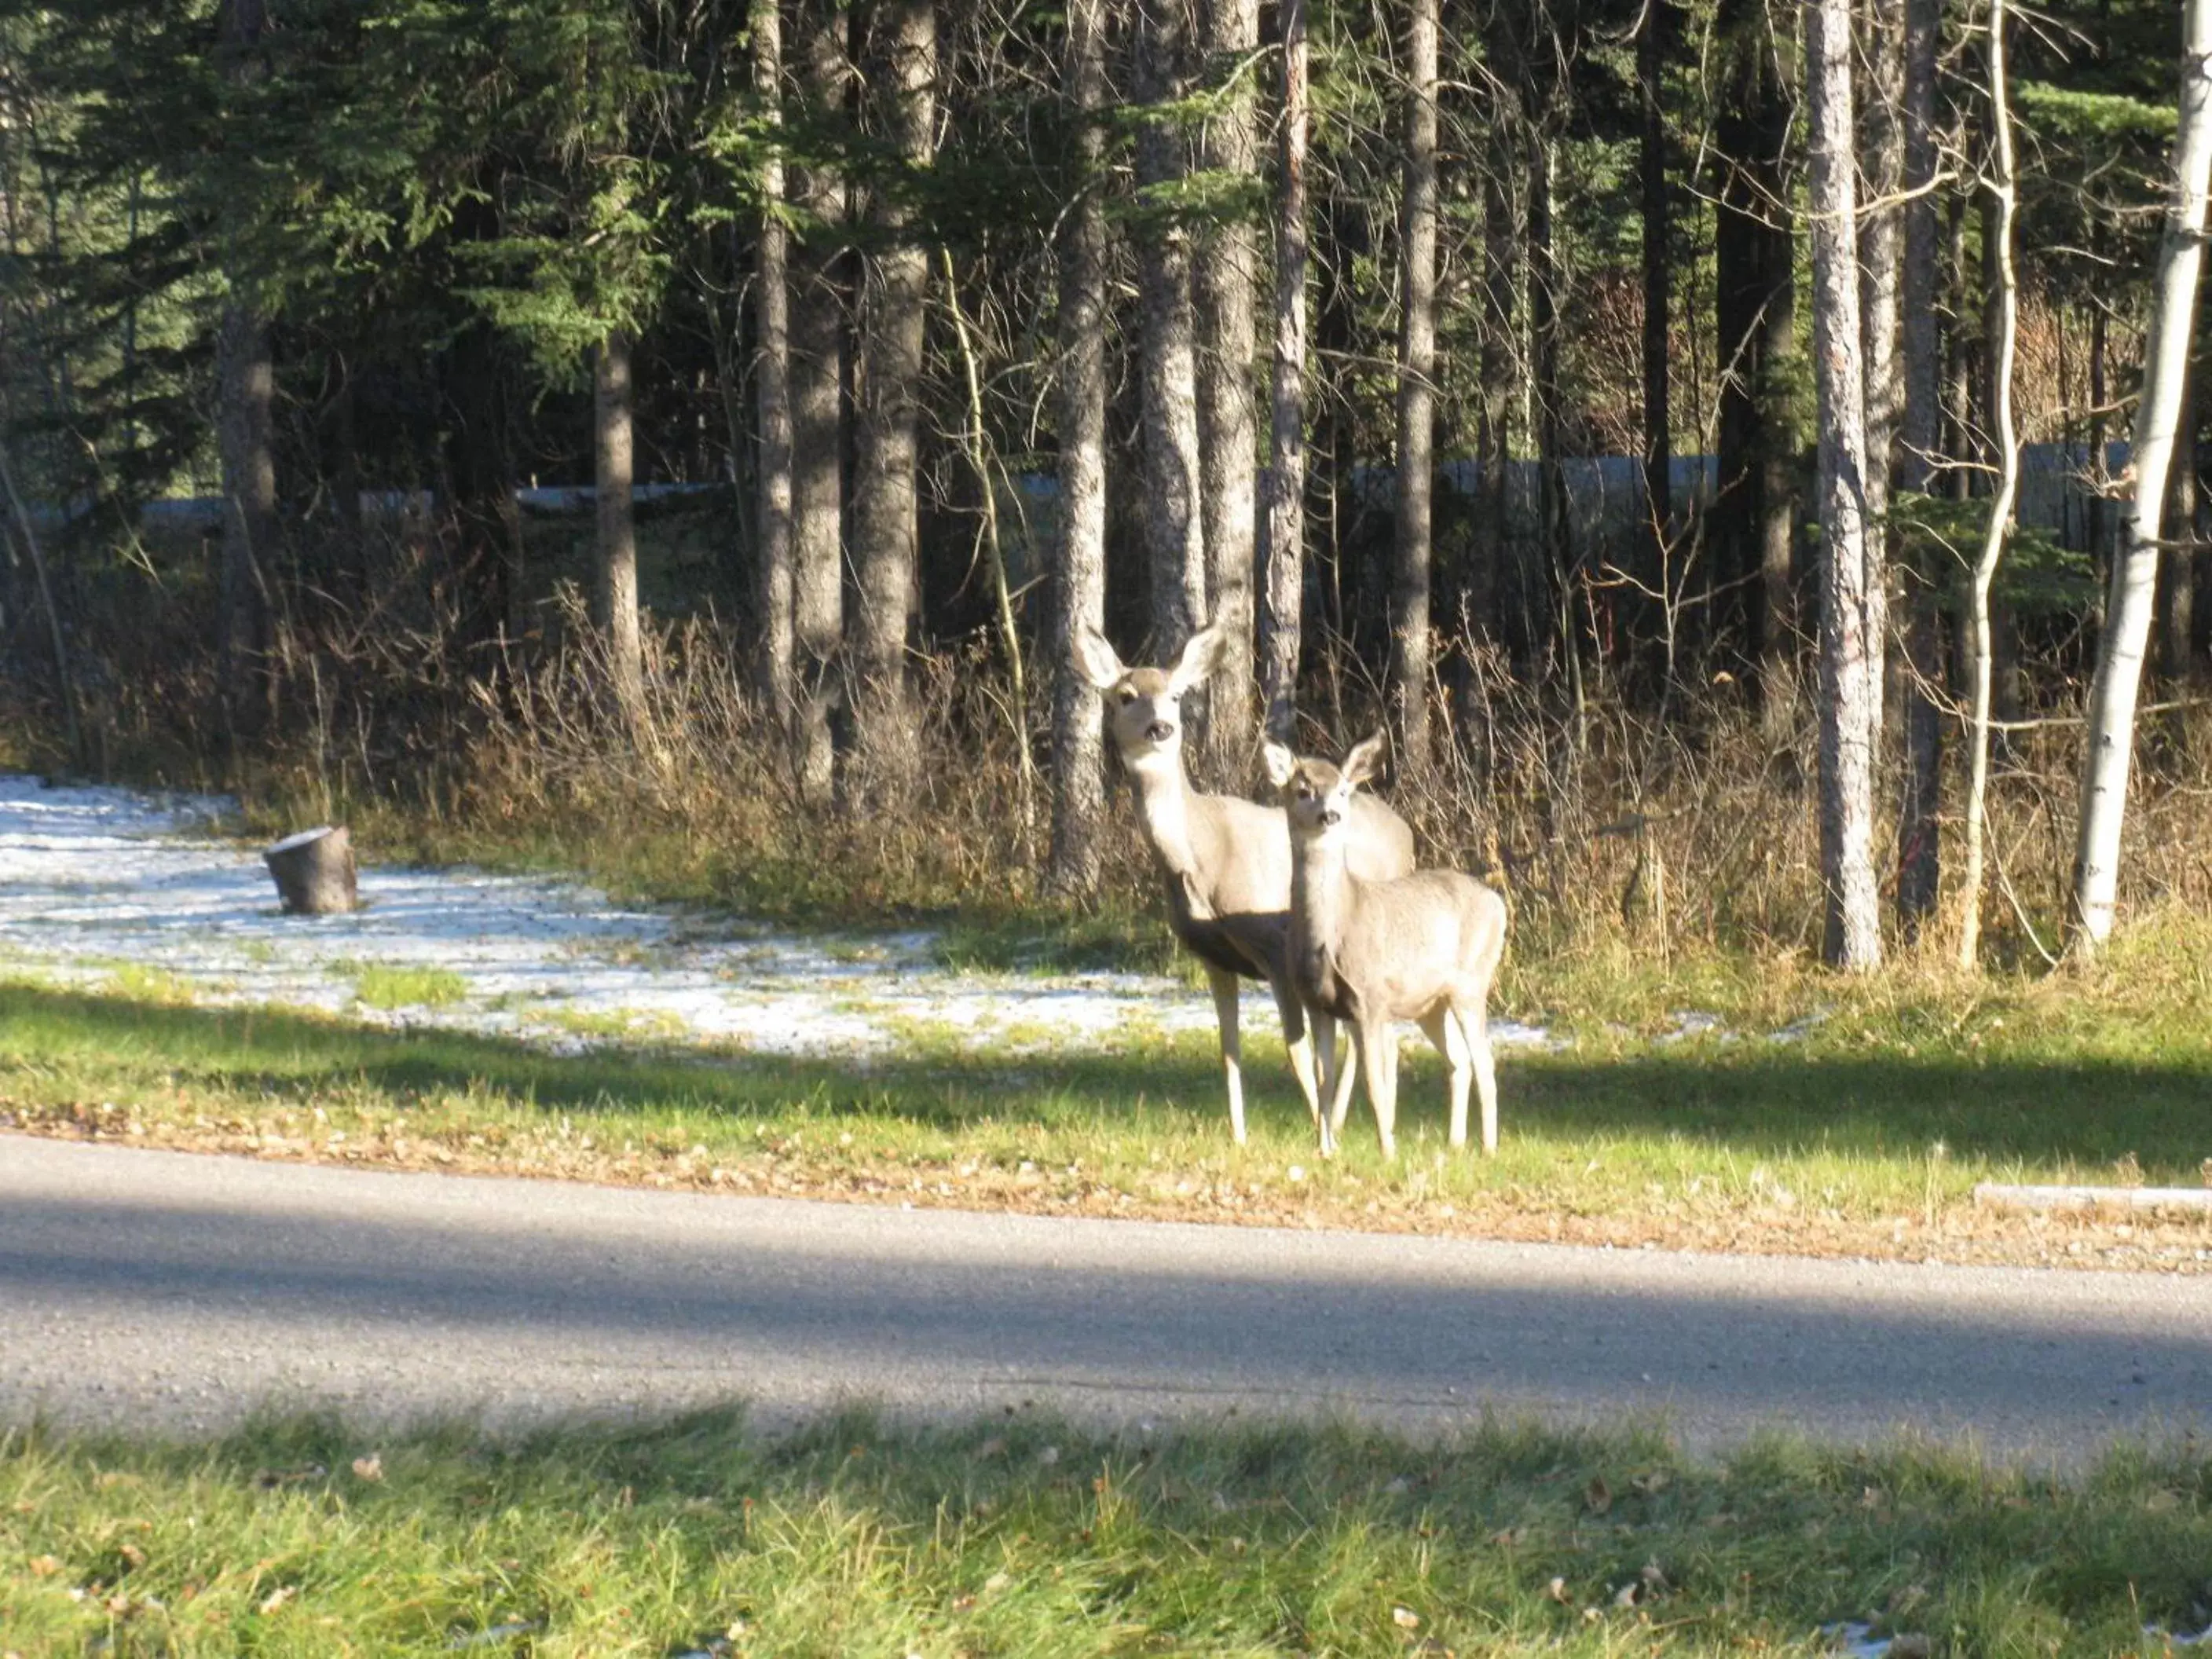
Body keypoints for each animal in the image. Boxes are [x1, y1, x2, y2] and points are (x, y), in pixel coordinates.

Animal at [1075, 619, 1415, 1150]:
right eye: (1126, 696)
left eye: (1175, 695)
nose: (1160, 728)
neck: (1199, 854)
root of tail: (1407, 835)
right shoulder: (1214, 957)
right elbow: (1228, 1048)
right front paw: (1239, 1135)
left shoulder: (1275, 950)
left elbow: (1297, 1053)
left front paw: (1318, 1135)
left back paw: (1344, 1125)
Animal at [1265, 734, 1503, 1159]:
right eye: (1303, 790)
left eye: (1343, 790)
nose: (1330, 815)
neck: (1334, 930)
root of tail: (1500, 905)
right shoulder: (1317, 1004)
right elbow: (1324, 1081)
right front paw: (1325, 1150)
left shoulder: (1371, 999)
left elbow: (1376, 1085)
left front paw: (1387, 1150)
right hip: (1431, 1003)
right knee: (1459, 1059)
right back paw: (1455, 1143)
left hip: (1472, 983)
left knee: (1485, 1063)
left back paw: (1488, 1149)